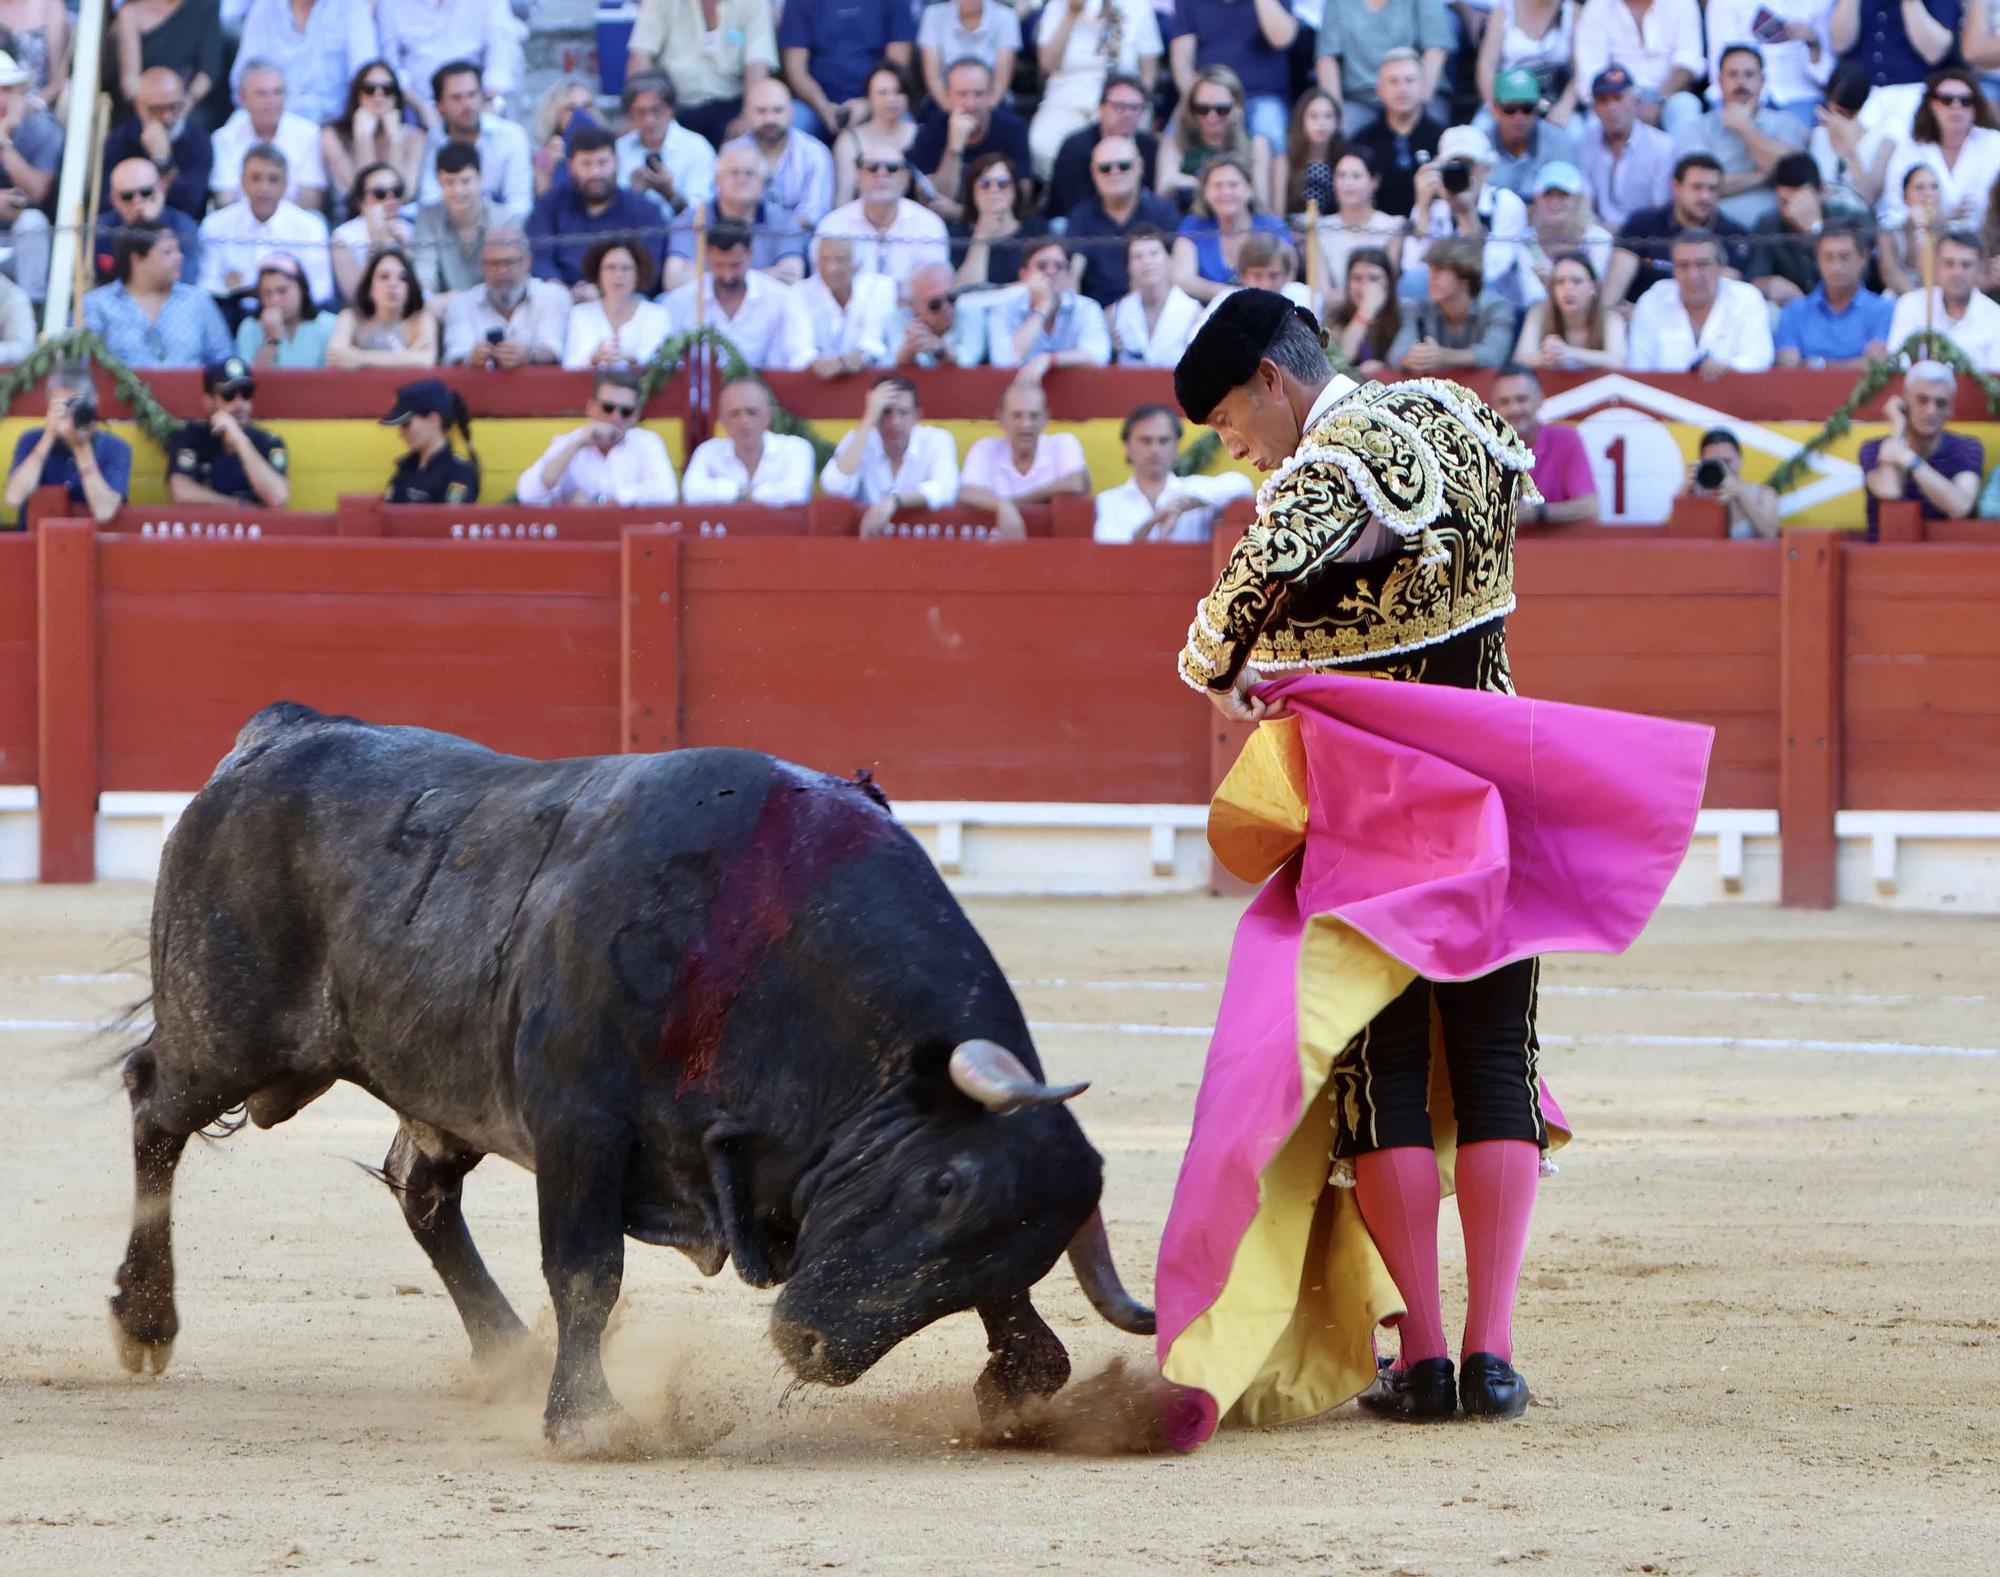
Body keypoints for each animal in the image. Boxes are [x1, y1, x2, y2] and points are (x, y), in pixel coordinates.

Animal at [113, 708, 1160, 1448]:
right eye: (942, 1183)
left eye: (1019, 1246)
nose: (812, 1348)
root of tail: (277, 732)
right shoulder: (580, 1124)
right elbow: (587, 1270)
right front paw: (589, 1421)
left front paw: (1018, 1384)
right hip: (227, 1036)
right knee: (153, 1107)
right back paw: (145, 1320)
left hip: (438, 1086)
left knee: (419, 1187)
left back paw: (510, 1354)